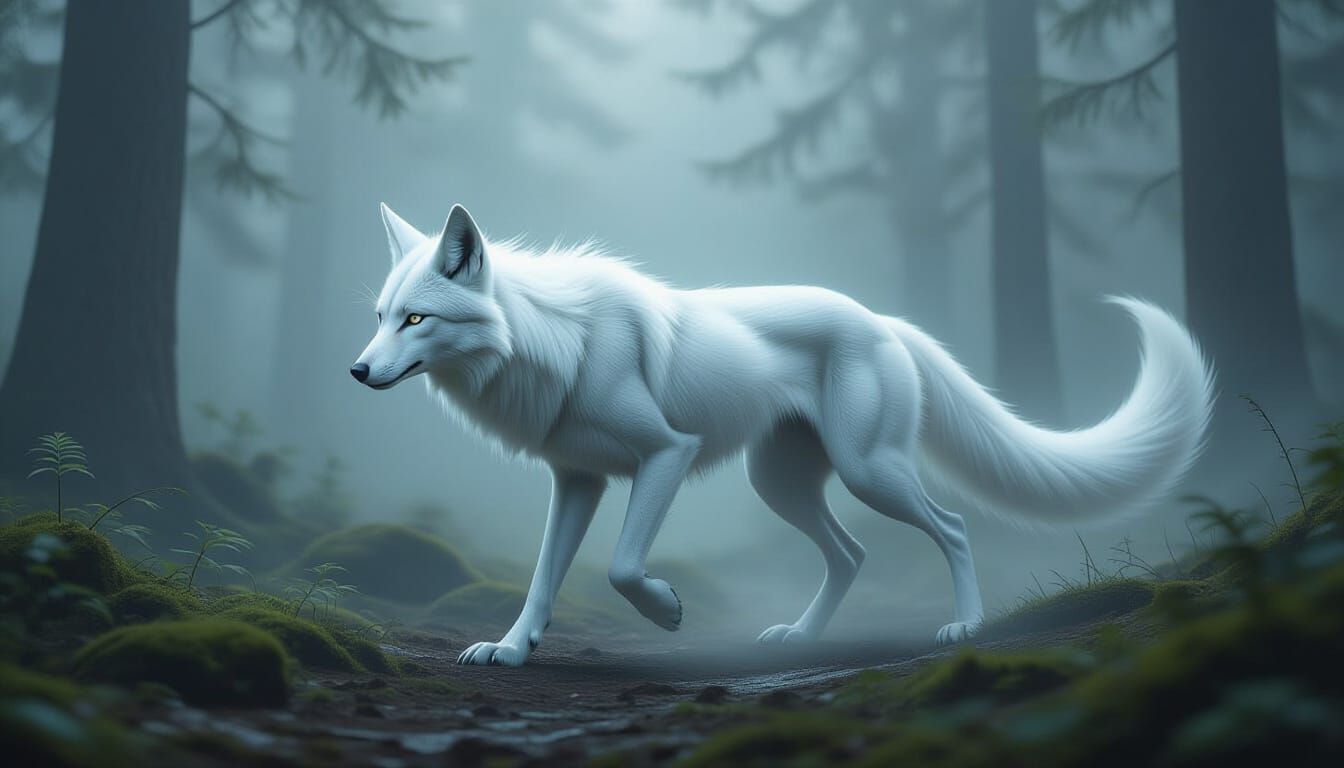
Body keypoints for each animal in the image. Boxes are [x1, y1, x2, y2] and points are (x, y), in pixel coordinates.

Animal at [352, 203, 1214, 667]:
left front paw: (666, 612)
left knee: (954, 526)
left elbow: (625, 567)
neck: (559, 343)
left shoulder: (666, 457)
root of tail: (884, 320)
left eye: (417, 320)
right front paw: (510, 649)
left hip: (869, 472)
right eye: (382, 317)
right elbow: (540, 579)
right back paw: (799, 636)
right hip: (782, 485)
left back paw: (964, 624)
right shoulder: (577, 482)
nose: (356, 371)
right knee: (852, 553)